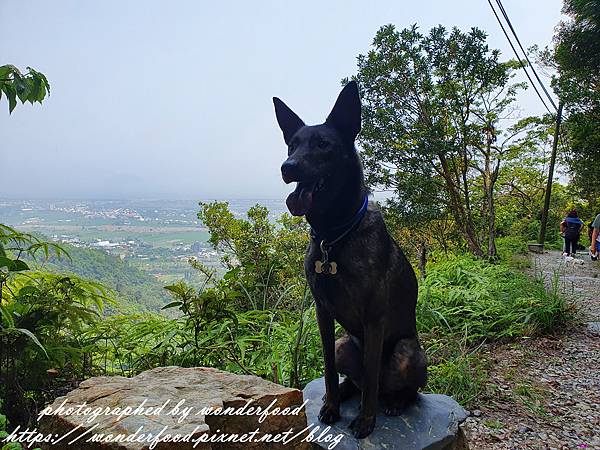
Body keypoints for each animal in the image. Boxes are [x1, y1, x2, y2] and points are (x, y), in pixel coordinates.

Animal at [272, 81, 426, 440]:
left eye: (323, 144)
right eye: (291, 145)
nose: (288, 167)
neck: (335, 235)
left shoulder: (374, 319)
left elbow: (370, 374)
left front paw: (366, 421)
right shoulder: (323, 313)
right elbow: (328, 368)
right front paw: (331, 405)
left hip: (407, 353)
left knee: (400, 388)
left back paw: (395, 402)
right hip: (346, 343)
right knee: (355, 380)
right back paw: (344, 392)